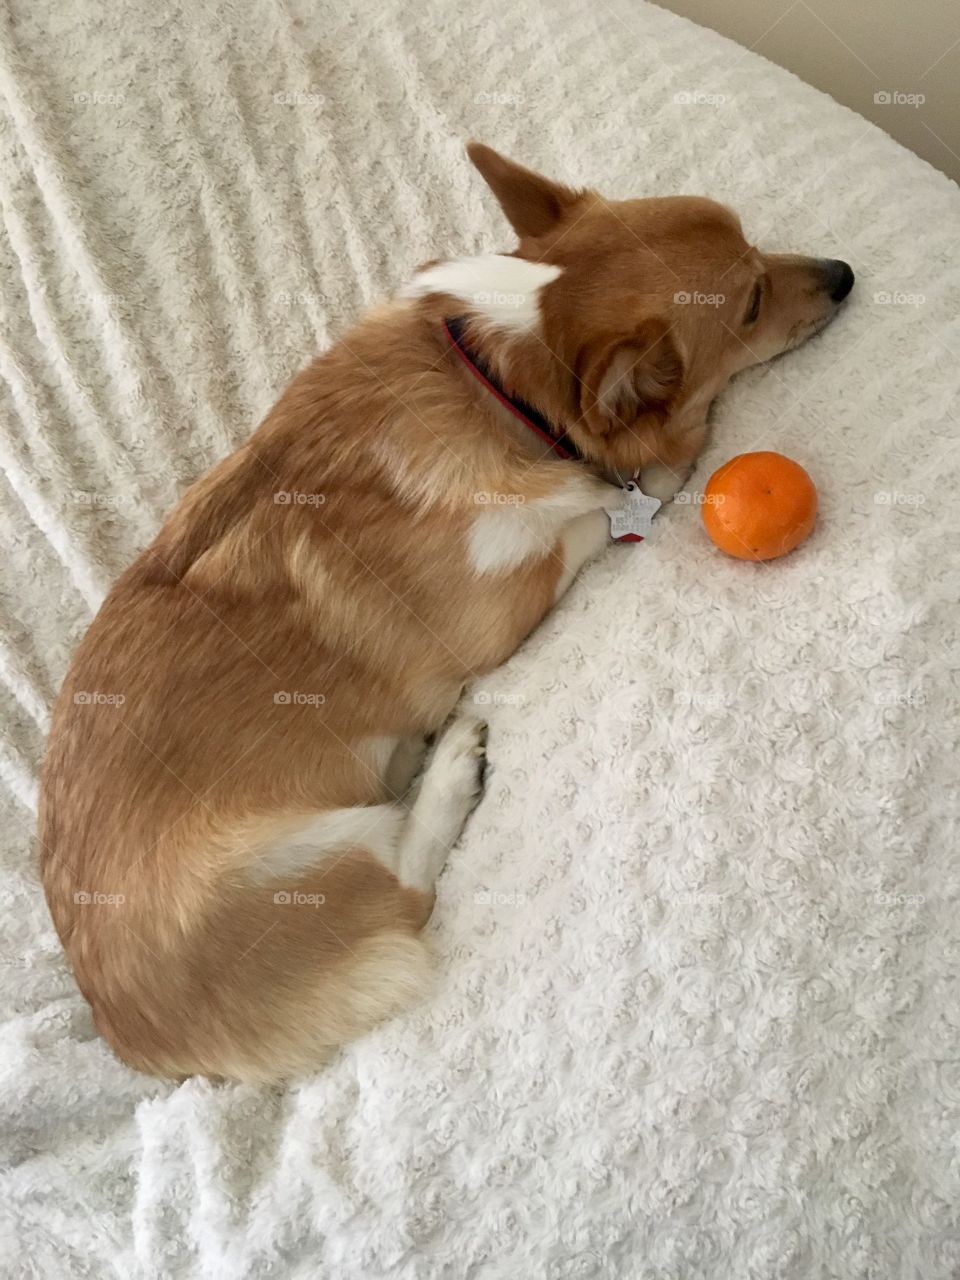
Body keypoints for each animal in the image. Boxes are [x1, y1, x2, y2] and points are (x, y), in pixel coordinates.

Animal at [39, 142, 855, 1080]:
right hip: (311, 852)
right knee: (408, 894)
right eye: (752, 300)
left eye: (759, 247)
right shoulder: (509, 594)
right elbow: (601, 507)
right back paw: (451, 768)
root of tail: (134, 1039)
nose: (844, 274)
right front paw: (650, 474)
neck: (501, 382)